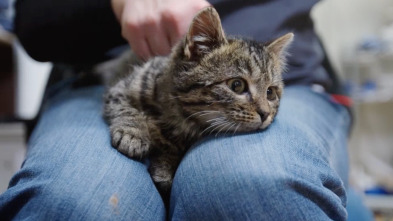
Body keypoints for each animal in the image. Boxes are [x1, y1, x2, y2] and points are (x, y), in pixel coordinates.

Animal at [102, 6, 292, 202]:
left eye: (270, 93)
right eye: (237, 85)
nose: (265, 114)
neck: (179, 119)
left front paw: (165, 166)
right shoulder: (120, 89)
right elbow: (127, 109)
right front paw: (132, 134)